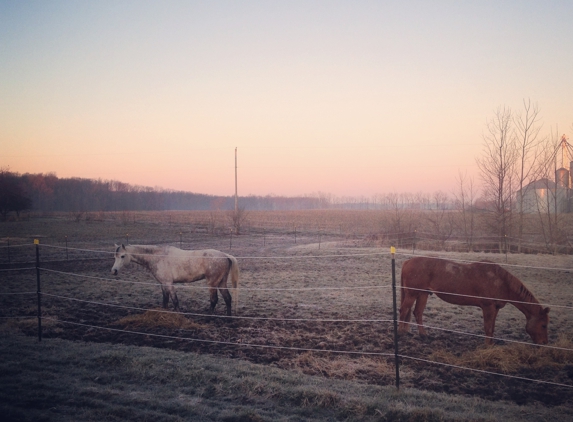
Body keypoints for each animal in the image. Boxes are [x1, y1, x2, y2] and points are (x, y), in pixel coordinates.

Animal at [111, 242, 239, 314]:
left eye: (123, 256)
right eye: (115, 256)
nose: (114, 271)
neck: (158, 256)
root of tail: (225, 255)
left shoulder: (169, 283)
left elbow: (175, 301)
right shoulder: (163, 284)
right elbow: (165, 300)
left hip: (212, 283)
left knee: (214, 300)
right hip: (221, 283)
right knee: (227, 298)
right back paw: (228, 316)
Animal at [398, 258, 548, 342]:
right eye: (543, 325)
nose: (544, 343)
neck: (501, 282)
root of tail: (407, 261)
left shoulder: (495, 309)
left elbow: (492, 328)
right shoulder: (487, 307)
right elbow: (488, 328)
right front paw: (487, 348)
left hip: (423, 294)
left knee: (417, 313)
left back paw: (423, 335)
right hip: (412, 294)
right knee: (404, 310)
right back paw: (401, 334)